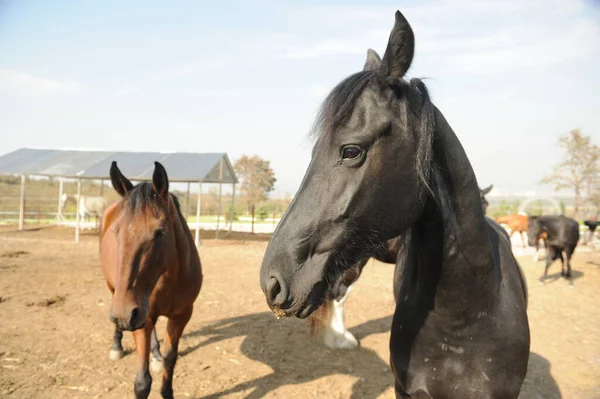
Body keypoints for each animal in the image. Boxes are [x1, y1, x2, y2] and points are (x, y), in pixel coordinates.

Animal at [99, 162, 202, 399]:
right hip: (116, 292)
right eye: (116, 232)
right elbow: (142, 382)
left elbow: (170, 360)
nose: (125, 314)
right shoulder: (139, 317)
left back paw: (155, 354)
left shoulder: (181, 315)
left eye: (160, 232)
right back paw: (116, 346)